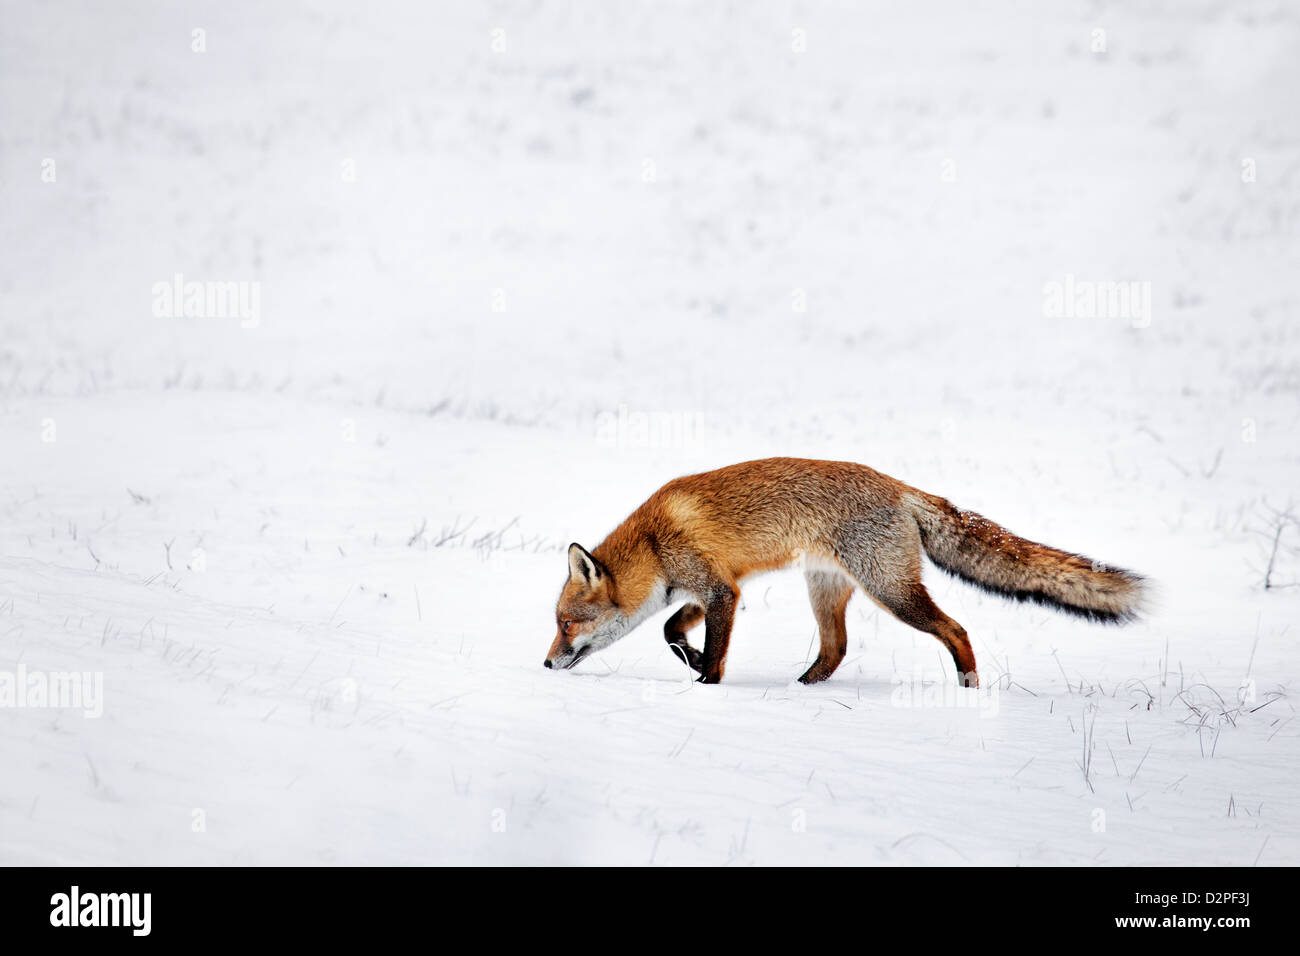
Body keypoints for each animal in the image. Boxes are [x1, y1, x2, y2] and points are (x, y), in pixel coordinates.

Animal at [543, 457, 1144, 686]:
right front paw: (690, 658)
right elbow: (671, 629)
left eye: (567, 624)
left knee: (957, 630)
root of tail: (901, 486)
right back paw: (800, 689)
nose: (546, 664)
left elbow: (711, 654)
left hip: (891, 591)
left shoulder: (720, 591)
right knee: (836, 650)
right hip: (825, 589)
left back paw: (969, 688)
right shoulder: (714, 589)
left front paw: (705, 685)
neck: (653, 542)